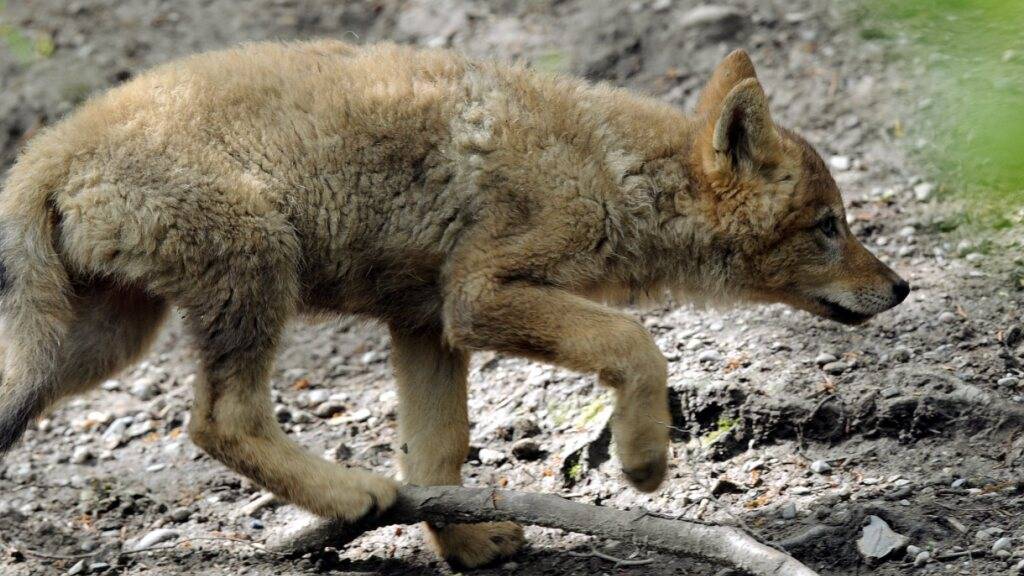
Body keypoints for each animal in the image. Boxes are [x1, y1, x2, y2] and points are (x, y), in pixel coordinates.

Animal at [0, 40, 908, 567]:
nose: (900, 287)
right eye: (829, 227)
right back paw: (349, 496)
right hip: (256, 273)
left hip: (97, 345)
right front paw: (644, 459)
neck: (613, 172)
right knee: (220, 420)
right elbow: (636, 344)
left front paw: (466, 544)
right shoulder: (477, 298)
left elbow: (436, 457)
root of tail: (52, 147)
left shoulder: (426, 325)